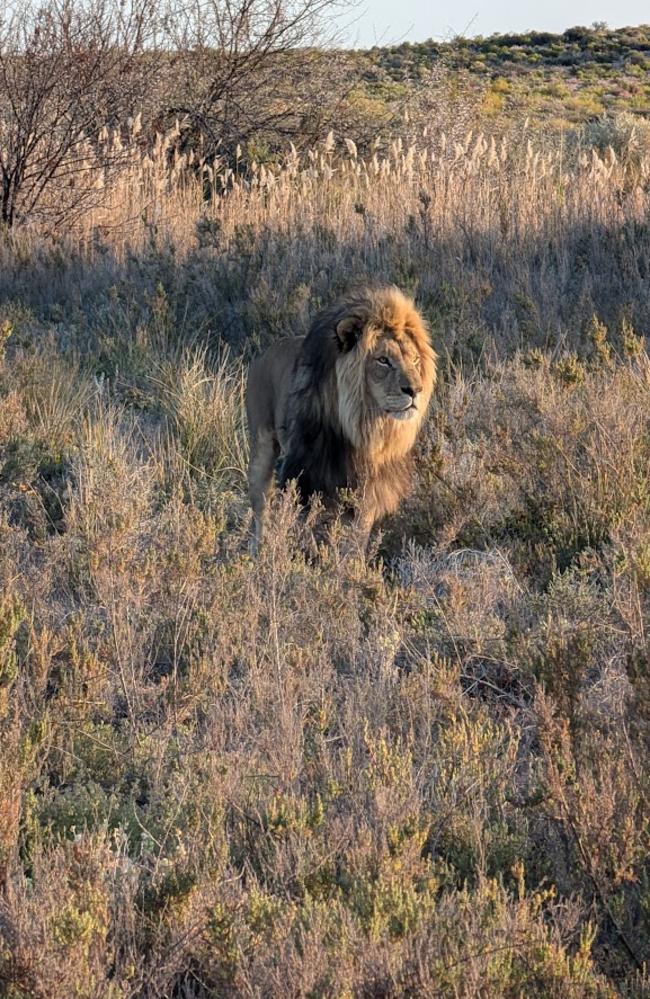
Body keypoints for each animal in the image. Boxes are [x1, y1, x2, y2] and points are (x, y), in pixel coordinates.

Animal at [246, 286, 438, 552]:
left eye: (415, 360)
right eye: (383, 360)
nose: (415, 390)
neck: (365, 428)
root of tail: (265, 352)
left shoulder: (368, 491)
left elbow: (356, 539)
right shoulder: (309, 479)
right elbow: (309, 529)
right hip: (262, 450)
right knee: (260, 510)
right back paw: (258, 552)